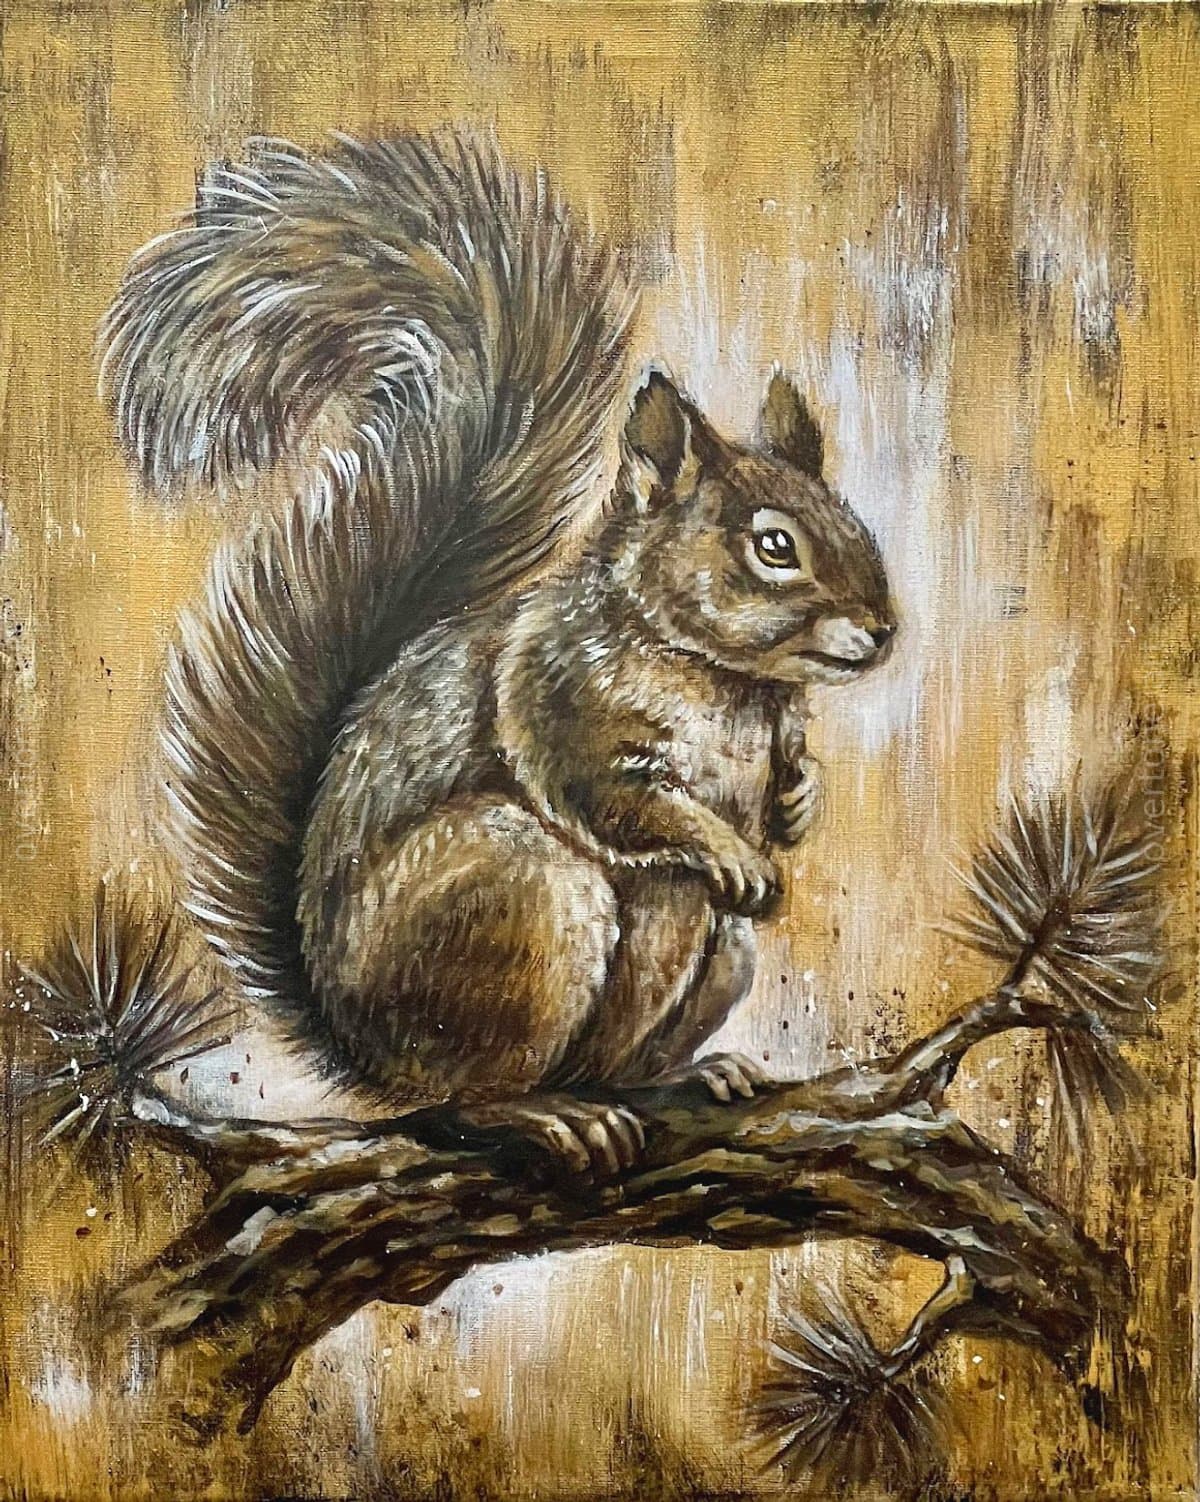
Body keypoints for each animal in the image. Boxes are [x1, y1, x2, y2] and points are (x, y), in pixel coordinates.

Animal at [100, 129, 895, 1174]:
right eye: (773, 546)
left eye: (854, 524)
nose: (884, 631)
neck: (726, 681)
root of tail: (363, 1053)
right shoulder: (555, 693)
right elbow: (611, 793)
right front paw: (728, 847)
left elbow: (786, 792)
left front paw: (799, 801)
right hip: (522, 897)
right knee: (461, 1099)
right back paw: (544, 1112)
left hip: (721, 954)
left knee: (613, 1059)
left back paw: (686, 1074)